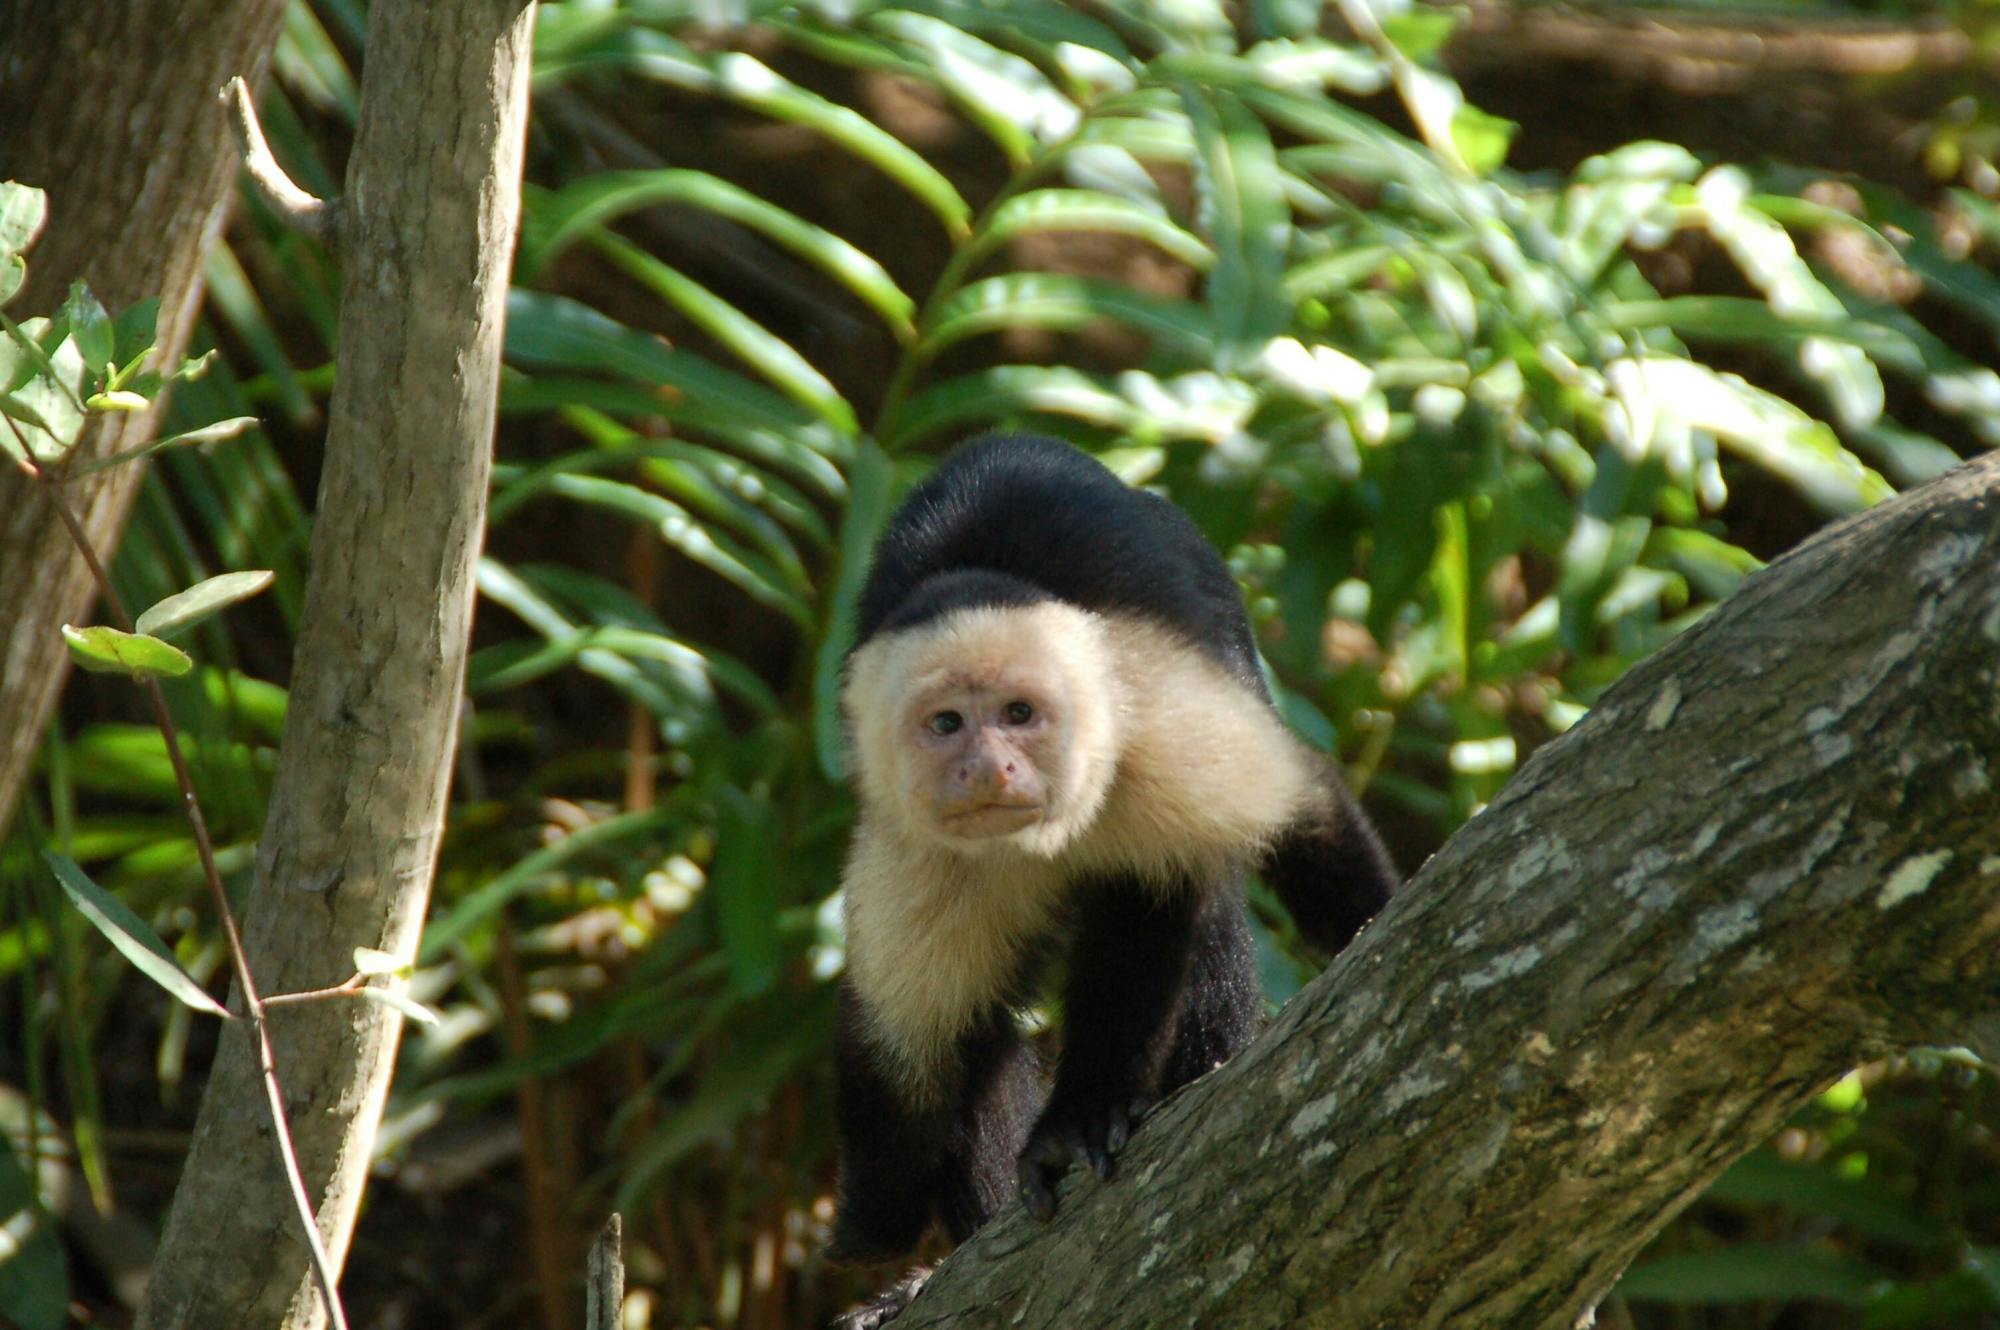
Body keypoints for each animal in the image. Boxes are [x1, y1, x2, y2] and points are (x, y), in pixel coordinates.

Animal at [820, 440, 1400, 1280]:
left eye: (1019, 714)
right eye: (947, 724)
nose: (989, 769)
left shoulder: (1159, 729)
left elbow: (1296, 811)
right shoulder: (913, 849)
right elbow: (912, 1046)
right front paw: (875, 1230)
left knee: (1190, 900)